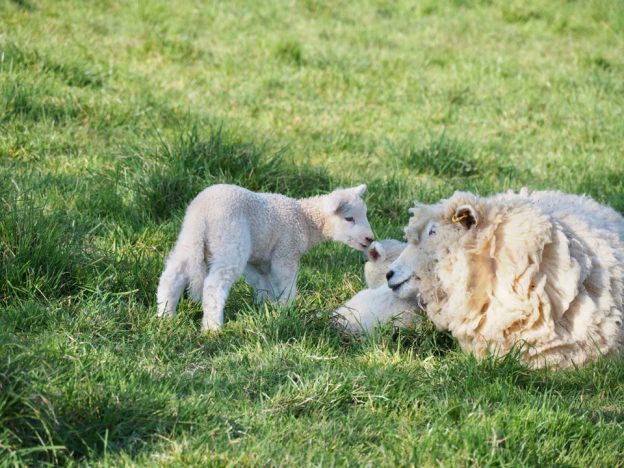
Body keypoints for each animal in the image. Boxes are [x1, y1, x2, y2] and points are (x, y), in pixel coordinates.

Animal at [156, 181, 372, 330]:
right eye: (349, 218)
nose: (370, 238)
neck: (305, 219)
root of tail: (202, 213)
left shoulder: (257, 261)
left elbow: (263, 285)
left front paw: (266, 308)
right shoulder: (285, 252)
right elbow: (286, 284)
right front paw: (287, 310)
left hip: (189, 239)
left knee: (171, 276)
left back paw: (165, 317)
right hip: (231, 242)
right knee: (214, 286)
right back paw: (212, 328)